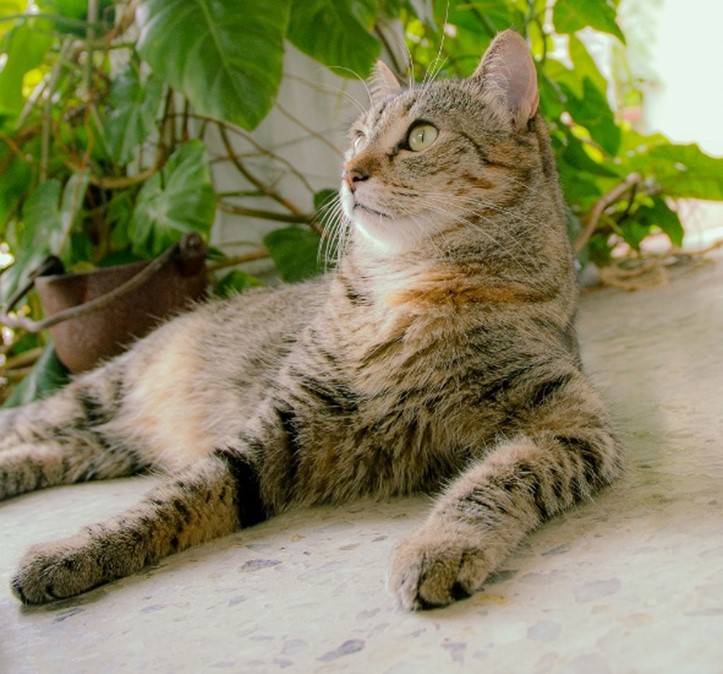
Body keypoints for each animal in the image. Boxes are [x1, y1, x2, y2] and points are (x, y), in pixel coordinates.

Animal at [0, 30, 624, 608]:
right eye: (357, 138)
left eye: (421, 135)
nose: (350, 173)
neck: (408, 290)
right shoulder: (278, 423)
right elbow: (175, 496)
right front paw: (75, 550)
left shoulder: (572, 424)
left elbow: (494, 482)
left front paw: (439, 545)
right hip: (94, 397)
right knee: (28, 427)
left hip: (102, 446)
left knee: (46, 452)